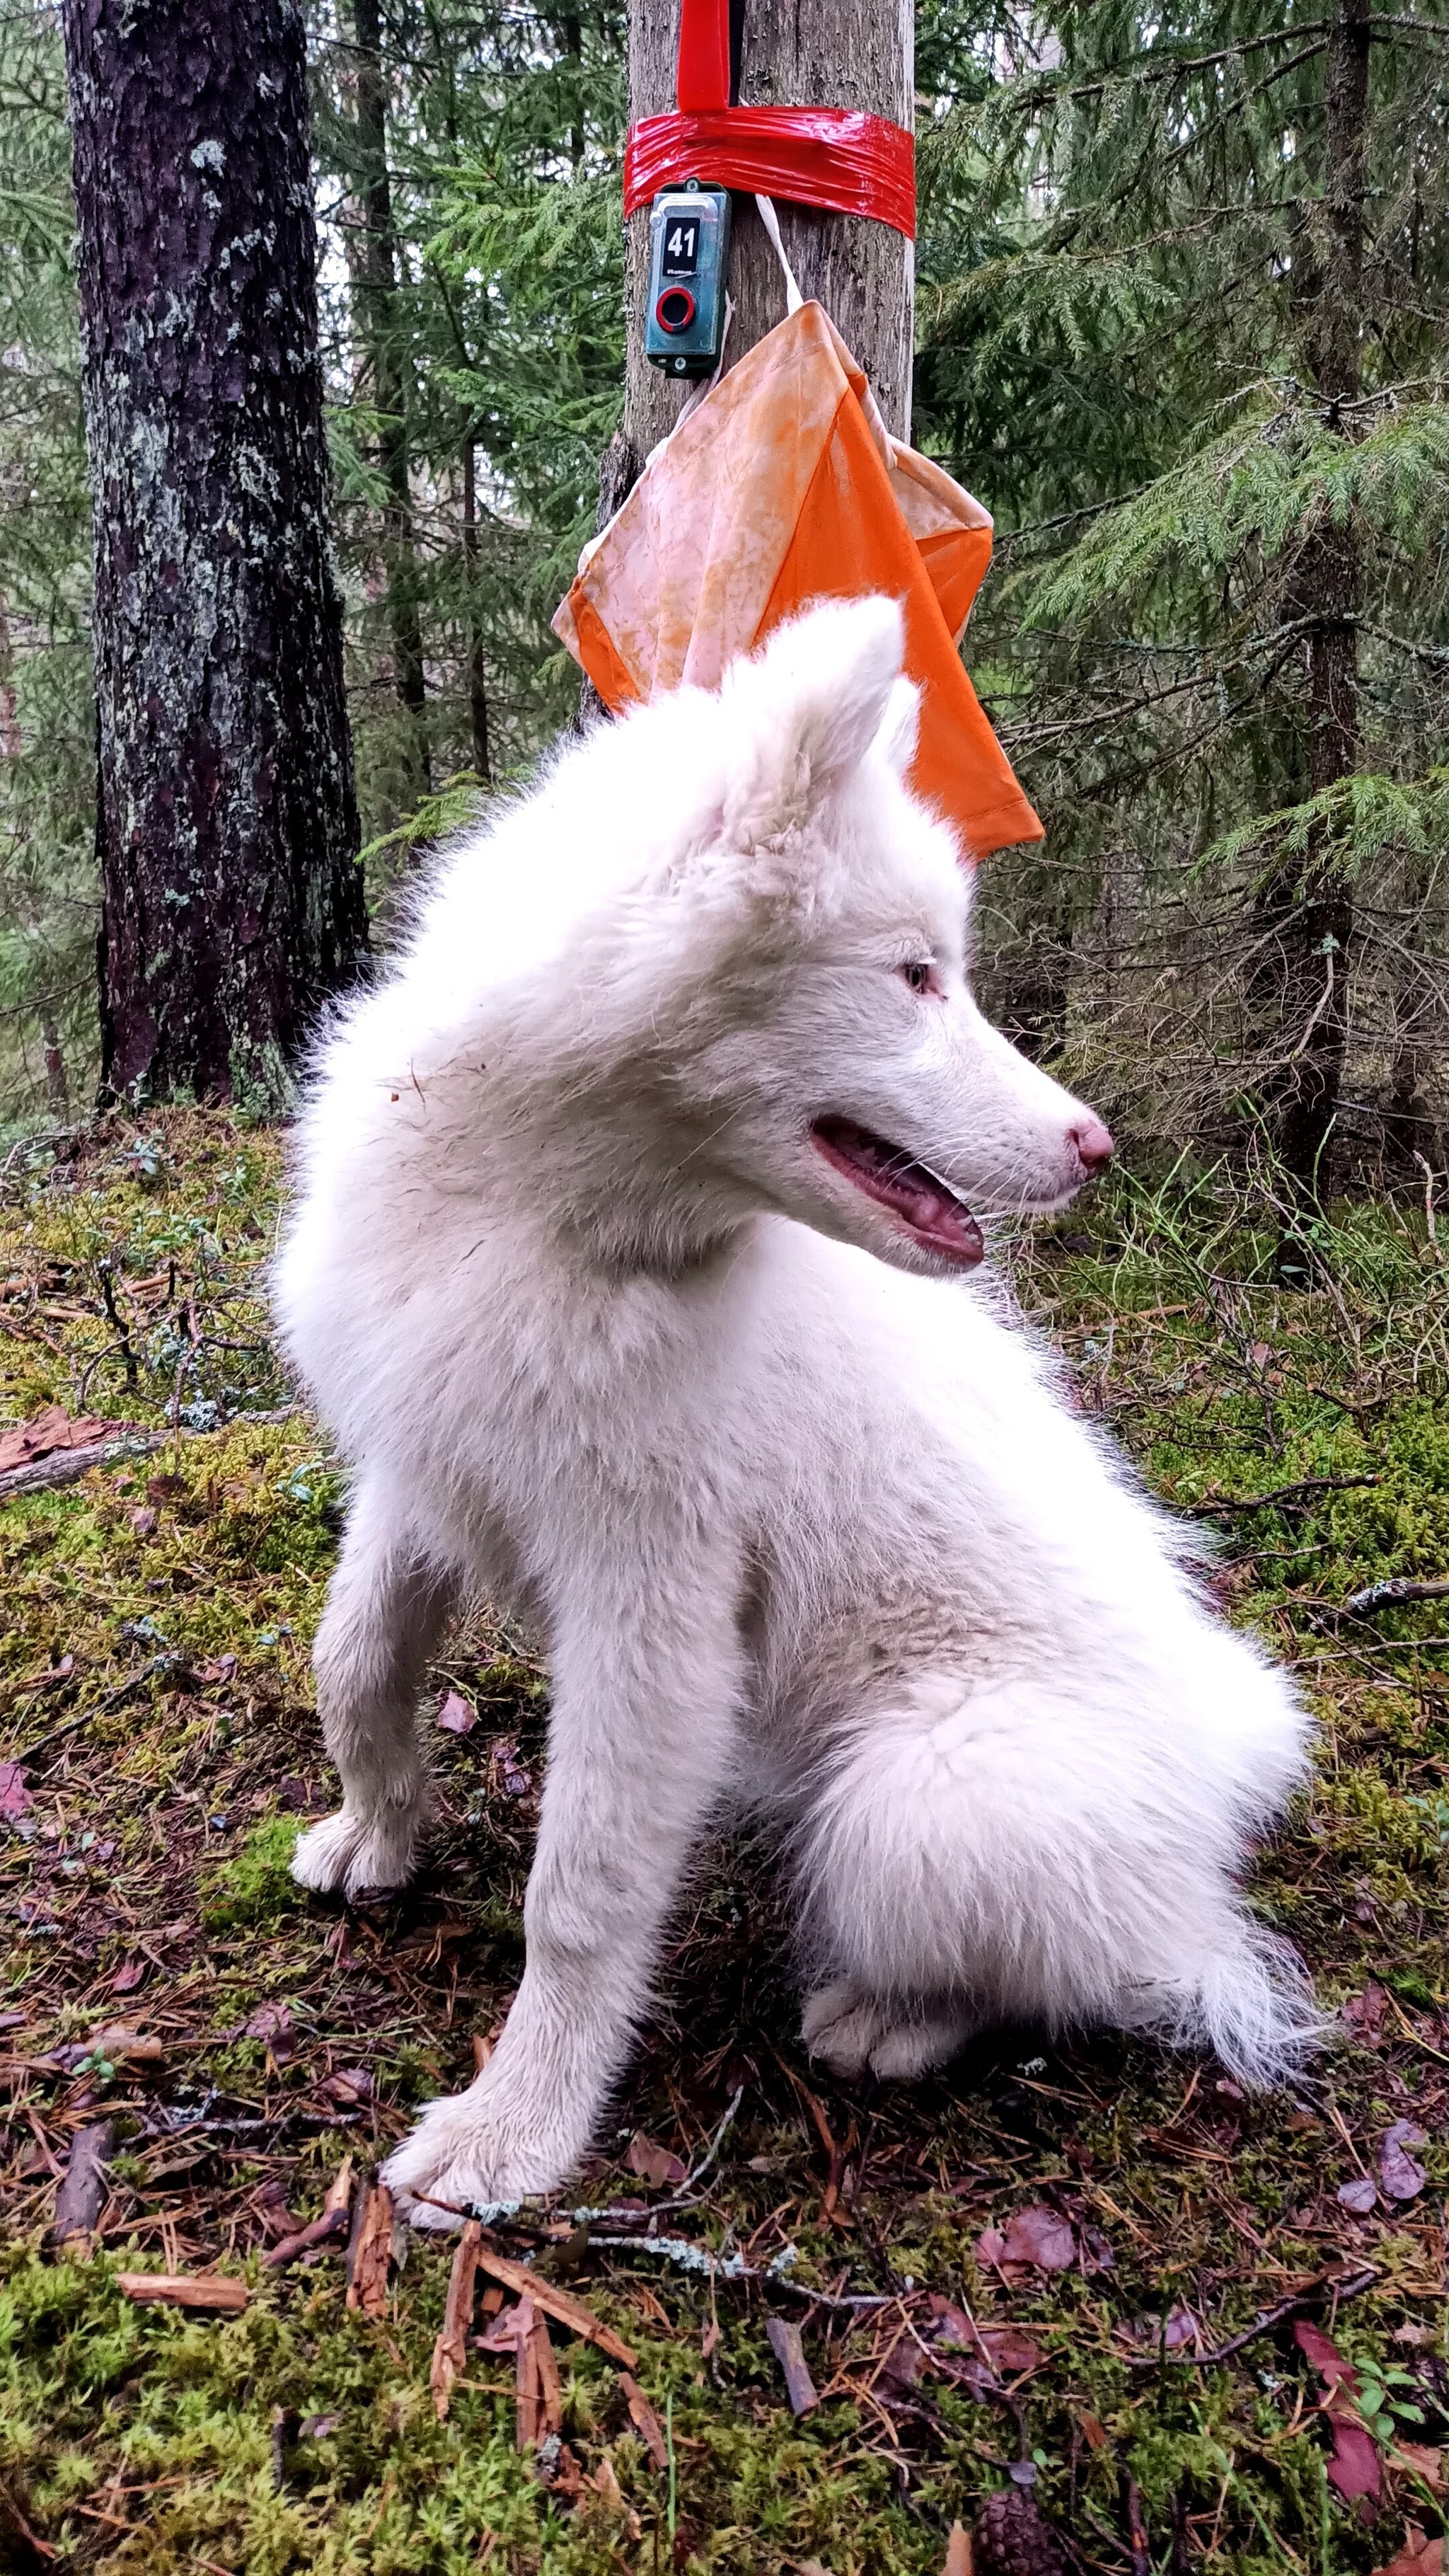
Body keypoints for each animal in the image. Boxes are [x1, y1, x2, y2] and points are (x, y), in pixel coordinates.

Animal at [275, 592, 1328, 2225]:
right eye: (912, 976)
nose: (1094, 1144)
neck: (548, 1222)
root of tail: (1223, 1767)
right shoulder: (426, 1462)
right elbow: (355, 1661)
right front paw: (378, 1831)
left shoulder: (653, 1606)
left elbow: (578, 1890)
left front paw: (517, 2129)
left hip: (919, 1797)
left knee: (1110, 1962)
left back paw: (889, 2016)